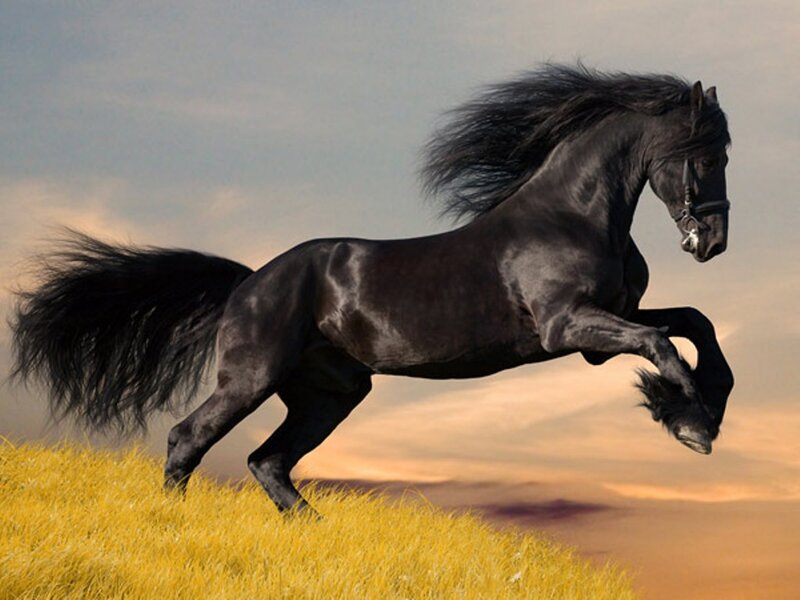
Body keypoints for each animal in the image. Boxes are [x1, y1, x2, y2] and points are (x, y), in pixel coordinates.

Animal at [10, 64, 734, 516]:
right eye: (704, 153)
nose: (713, 242)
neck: (573, 215)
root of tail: (249, 282)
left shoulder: (604, 326)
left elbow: (693, 323)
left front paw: (702, 409)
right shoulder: (569, 328)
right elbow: (662, 344)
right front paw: (689, 422)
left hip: (330, 393)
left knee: (268, 461)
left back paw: (315, 534)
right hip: (252, 378)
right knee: (188, 438)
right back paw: (176, 522)